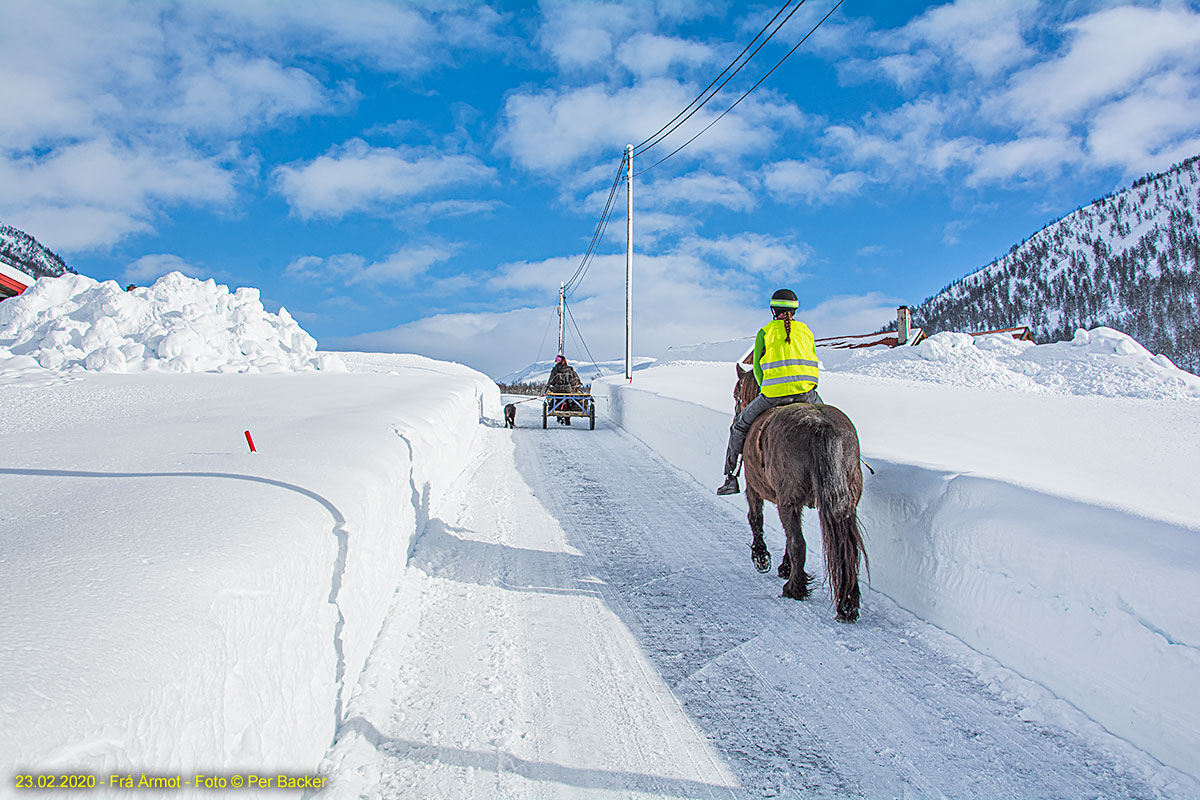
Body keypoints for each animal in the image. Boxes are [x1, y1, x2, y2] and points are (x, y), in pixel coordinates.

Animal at [729, 367, 864, 623]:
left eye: (736, 395)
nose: (736, 414)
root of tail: (821, 426)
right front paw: (784, 566)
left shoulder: (754, 487)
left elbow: (756, 518)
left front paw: (762, 557)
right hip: (845, 500)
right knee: (846, 549)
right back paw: (848, 603)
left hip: (787, 499)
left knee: (798, 543)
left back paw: (794, 588)